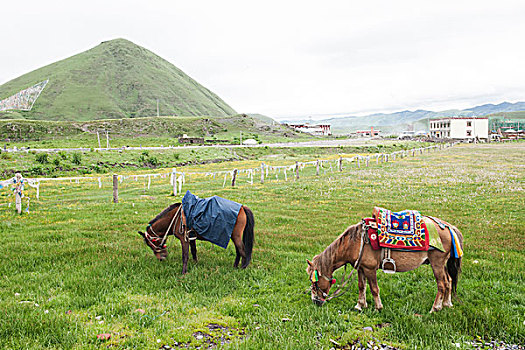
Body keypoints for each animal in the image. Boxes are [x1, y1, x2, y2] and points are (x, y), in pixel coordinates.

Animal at [308, 206, 462, 314]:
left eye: (314, 281)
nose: (315, 301)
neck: (356, 242)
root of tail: (448, 227)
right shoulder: (361, 268)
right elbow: (361, 286)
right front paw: (360, 305)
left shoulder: (370, 269)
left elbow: (374, 288)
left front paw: (378, 308)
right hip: (443, 264)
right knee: (449, 281)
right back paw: (447, 304)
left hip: (437, 263)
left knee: (442, 285)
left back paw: (435, 308)